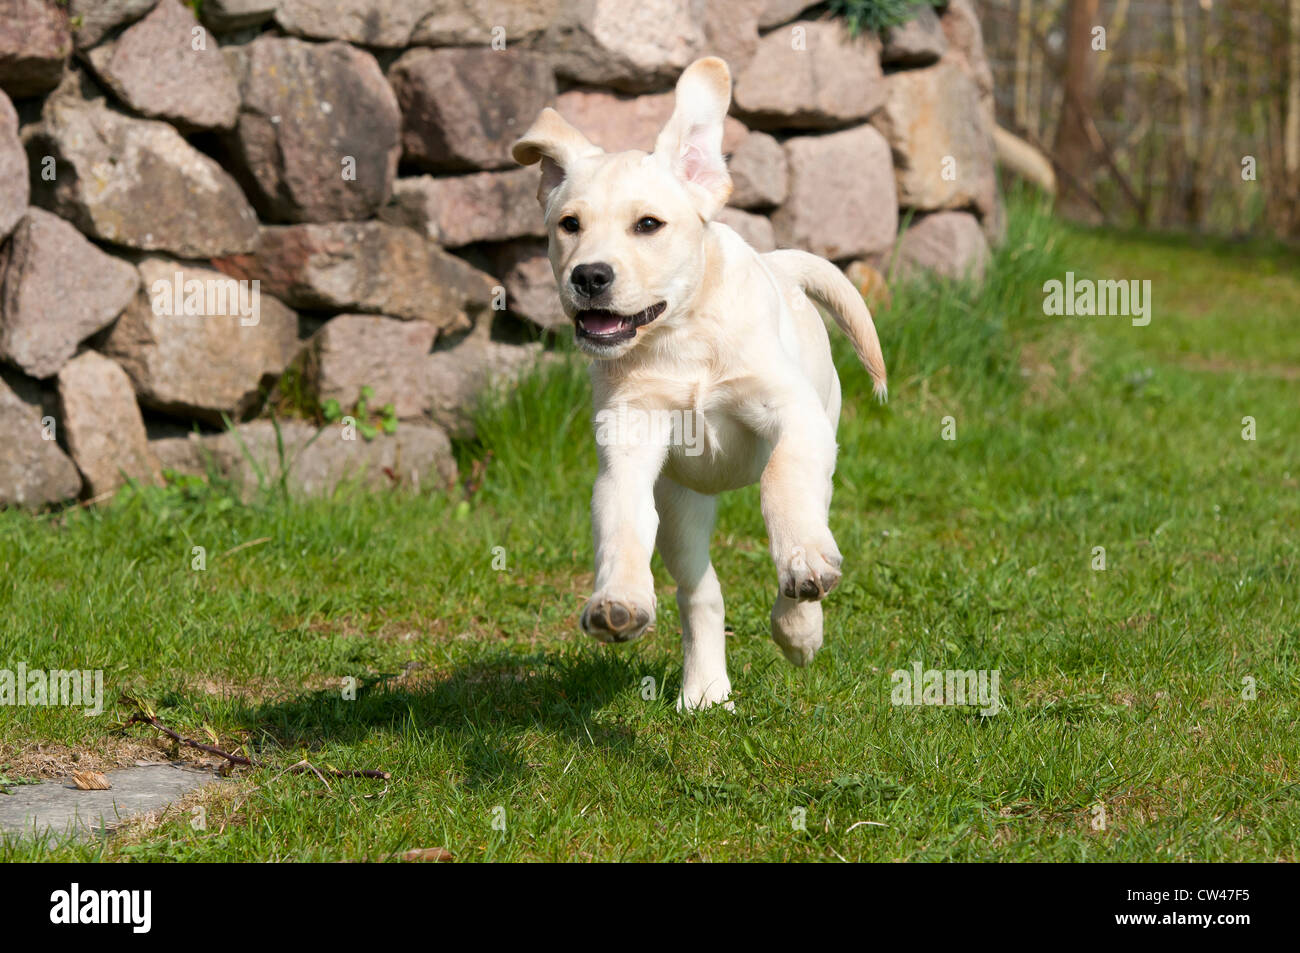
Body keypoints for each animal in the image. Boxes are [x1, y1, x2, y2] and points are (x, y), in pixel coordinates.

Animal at [512, 52, 889, 707]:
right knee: (699, 593)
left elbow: (780, 484)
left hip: (825, 447)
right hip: (681, 508)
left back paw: (798, 624)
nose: (588, 276)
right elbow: (619, 521)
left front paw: (803, 570)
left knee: (803, 509)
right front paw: (618, 601)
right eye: (568, 224)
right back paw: (706, 690)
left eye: (648, 225)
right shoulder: (629, 445)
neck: (682, 339)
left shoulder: (795, 418)